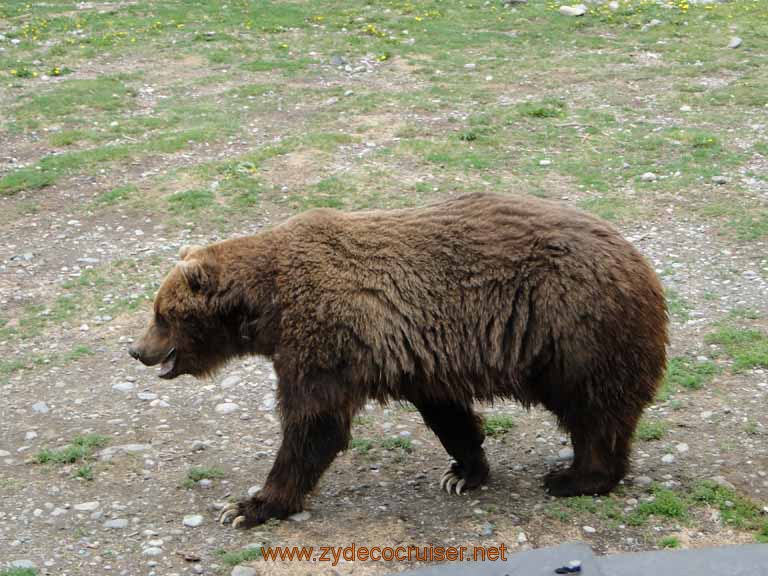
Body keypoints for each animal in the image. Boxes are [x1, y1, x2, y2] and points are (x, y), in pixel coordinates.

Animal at [127, 192, 664, 528]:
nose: (136, 350)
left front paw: (249, 506)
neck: (267, 308)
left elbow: (313, 424)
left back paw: (575, 477)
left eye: (160, 314)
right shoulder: (418, 351)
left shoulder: (323, 337)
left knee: (594, 409)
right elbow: (446, 413)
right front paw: (463, 472)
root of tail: (641, 263)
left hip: (571, 327)